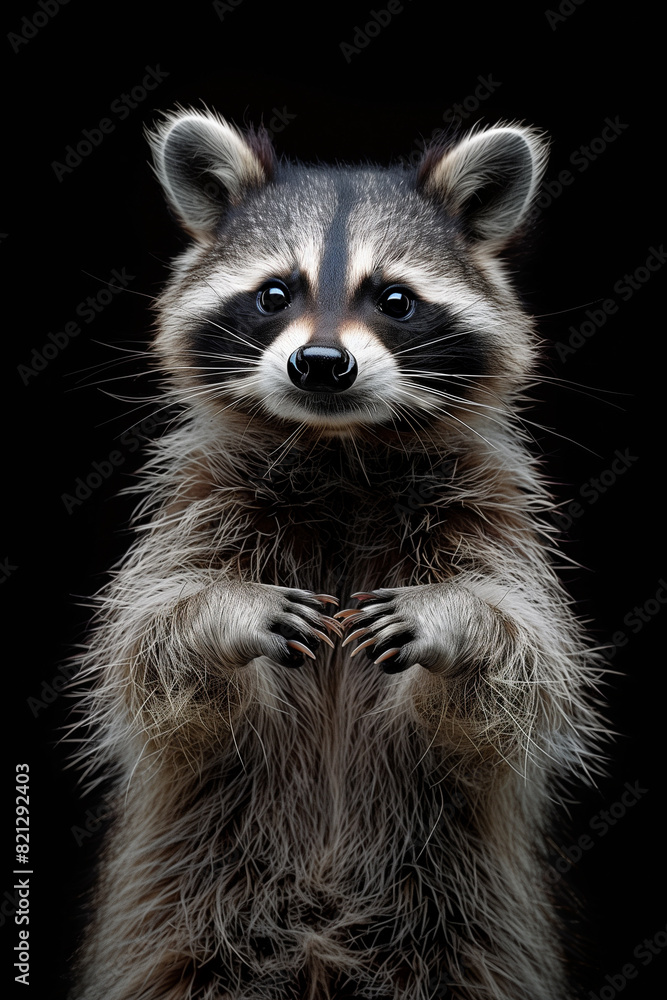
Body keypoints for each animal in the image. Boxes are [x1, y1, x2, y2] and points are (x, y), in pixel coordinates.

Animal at [70, 109, 605, 1000]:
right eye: (273, 293)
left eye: (394, 300)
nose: (320, 364)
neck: (340, 451)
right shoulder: (194, 501)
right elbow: (151, 643)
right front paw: (224, 615)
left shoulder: (494, 510)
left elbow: (522, 660)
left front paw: (454, 624)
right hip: (190, 912)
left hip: (459, 923)